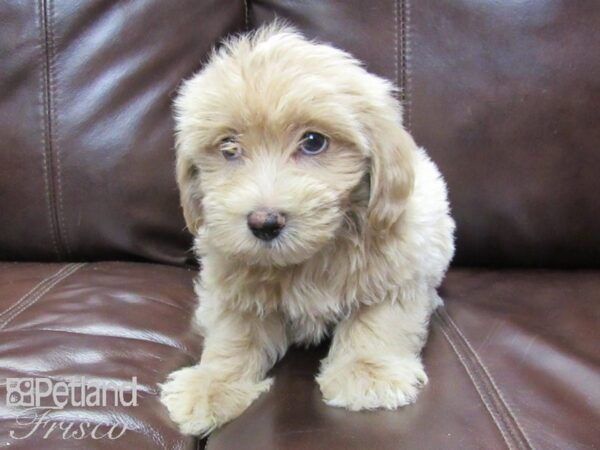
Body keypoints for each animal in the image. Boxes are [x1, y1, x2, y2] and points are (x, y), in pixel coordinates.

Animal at [161, 23, 454, 436]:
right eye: (229, 148)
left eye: (314, 142)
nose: (264, 222)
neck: (311, 256)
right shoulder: (232, 284)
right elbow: (235, 334)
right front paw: (213, 383)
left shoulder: (398, 270)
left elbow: (378, 320)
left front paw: (367, 373)